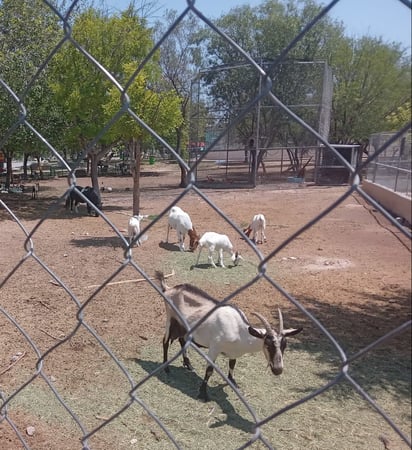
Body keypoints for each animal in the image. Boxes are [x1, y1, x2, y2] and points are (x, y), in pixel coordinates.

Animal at [156, 270, 304, 400]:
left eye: (284, 345)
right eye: (268, 344)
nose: (278, 369)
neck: (239, 331)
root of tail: (169, 289)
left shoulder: (234, 353)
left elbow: (232, 364)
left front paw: (233, 382)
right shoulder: (214, 347)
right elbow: (209, 370)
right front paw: (203, 394)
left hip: (184, 327)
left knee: (182, 340)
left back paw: (188, 365)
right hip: (171, 319)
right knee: (165, 341)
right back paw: (166, 368)